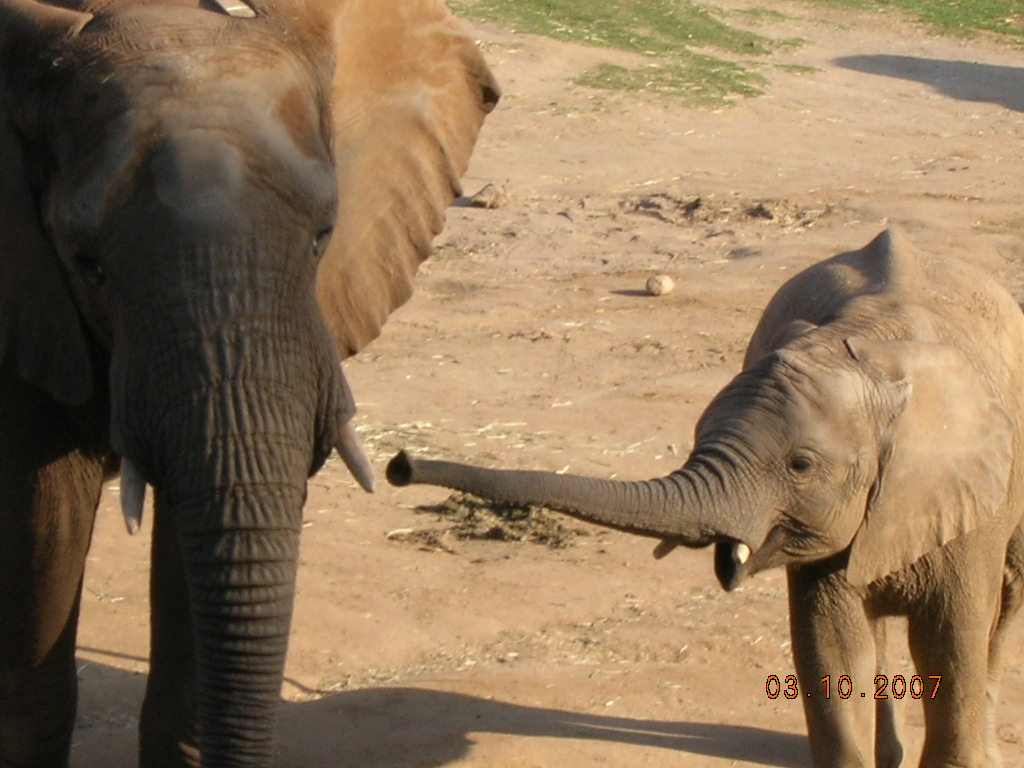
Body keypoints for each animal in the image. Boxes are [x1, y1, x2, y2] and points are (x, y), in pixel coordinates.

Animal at [388, 230, 1024, 768]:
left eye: (800, 464)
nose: (400, 464)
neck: (868, 349)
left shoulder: (968, 498)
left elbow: (950, 647)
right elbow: (833, 649)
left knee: (1007, 598)